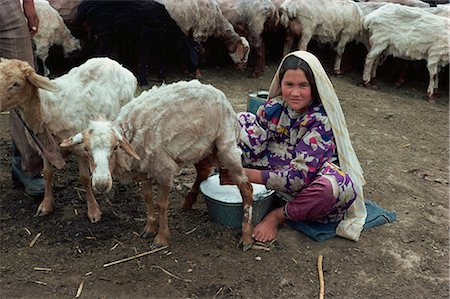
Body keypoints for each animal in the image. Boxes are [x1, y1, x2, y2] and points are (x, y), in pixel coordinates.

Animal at [0, 58, 137, 223]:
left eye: (16, 84)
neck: (45, 109)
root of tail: (115, 63)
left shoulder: (80, 148)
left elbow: (84, 178)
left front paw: (93, 211)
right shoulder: (44, 147)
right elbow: (47, 173)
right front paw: (46, 205)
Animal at [60, 79, 256, 251]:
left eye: (115, 147)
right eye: (86, 149)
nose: (101, 184)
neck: (131, 134)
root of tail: (218, 92)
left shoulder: (164, 170)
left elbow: (161, 204)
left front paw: (161, 238)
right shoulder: (144, 170)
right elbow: (147, 198)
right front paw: (149, 229)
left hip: (225, 145)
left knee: (246, 187)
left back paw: (246, 237)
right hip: (201, 147)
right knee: (203, 171)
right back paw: (188, 201)